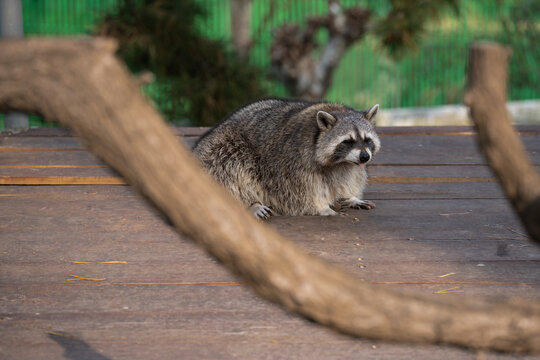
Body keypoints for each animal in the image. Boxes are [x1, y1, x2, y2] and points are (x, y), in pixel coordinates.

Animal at [193, 97, 380, 218]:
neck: (340, 162)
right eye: (348, 141)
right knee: (231, 168)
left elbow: (348, 178)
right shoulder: (294, 163)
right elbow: (302, 192)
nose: (365, 157)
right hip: (222, 149)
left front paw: (350, 197)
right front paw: (322, 207)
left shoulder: (349, 166)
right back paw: (251, 203)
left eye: (367, 140)